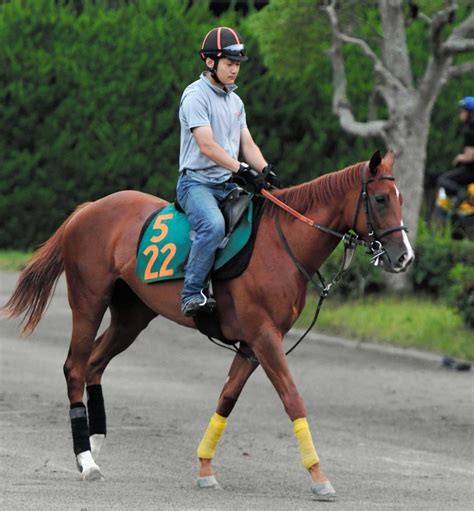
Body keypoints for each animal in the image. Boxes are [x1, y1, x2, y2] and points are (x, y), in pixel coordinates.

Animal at [2, 150, 412, 502]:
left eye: (400, 197)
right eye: (380, 199)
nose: (404, 257)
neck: (281, 245)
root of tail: (88, 210)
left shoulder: (251, 345)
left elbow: (226, 399)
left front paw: (205, 468)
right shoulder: (265, 338)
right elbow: (292, 398)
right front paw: (318, 475)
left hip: (132, 316)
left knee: (95, 363)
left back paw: (94, 440)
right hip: (89, 302)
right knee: (75, 367)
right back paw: (86, 460)